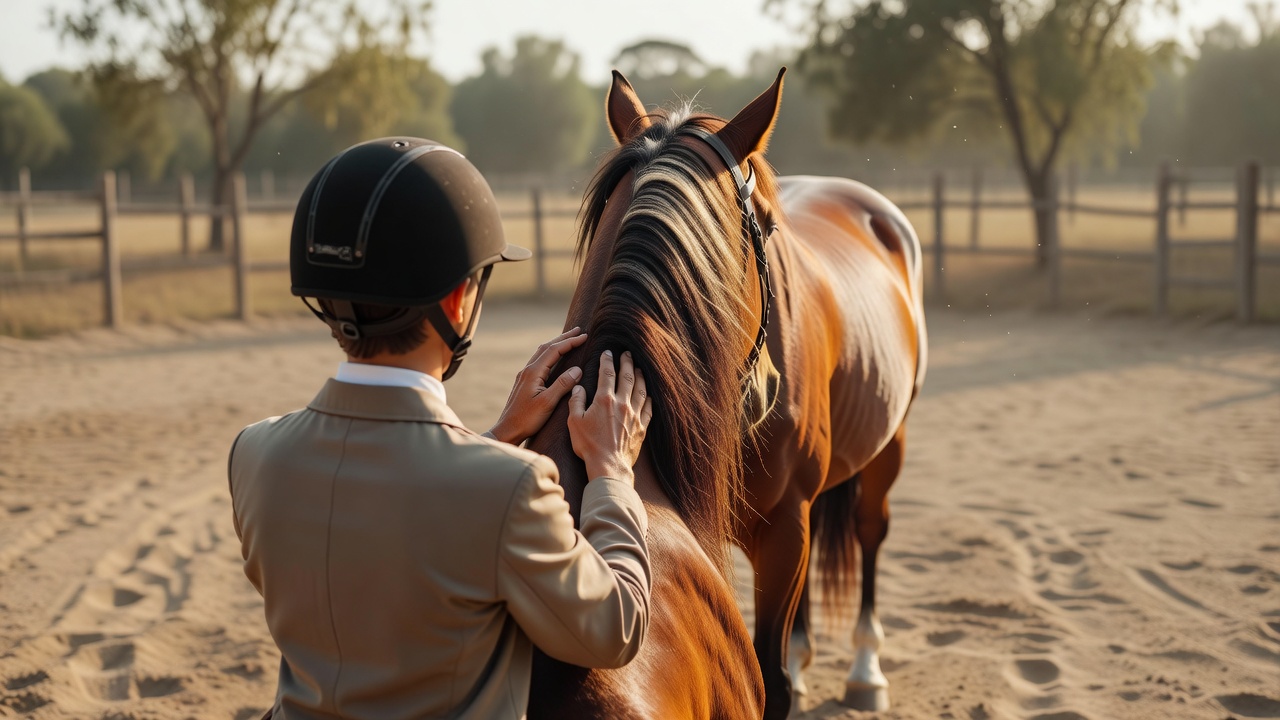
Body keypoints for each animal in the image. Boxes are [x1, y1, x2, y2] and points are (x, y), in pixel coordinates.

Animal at [526, 68, 927, 720]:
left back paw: (866, 668)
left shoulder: (785, 525)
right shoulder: (774, 532)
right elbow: (776, 673)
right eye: (766, 223)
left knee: (870, 530)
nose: (769, 389)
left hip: (889, 444)